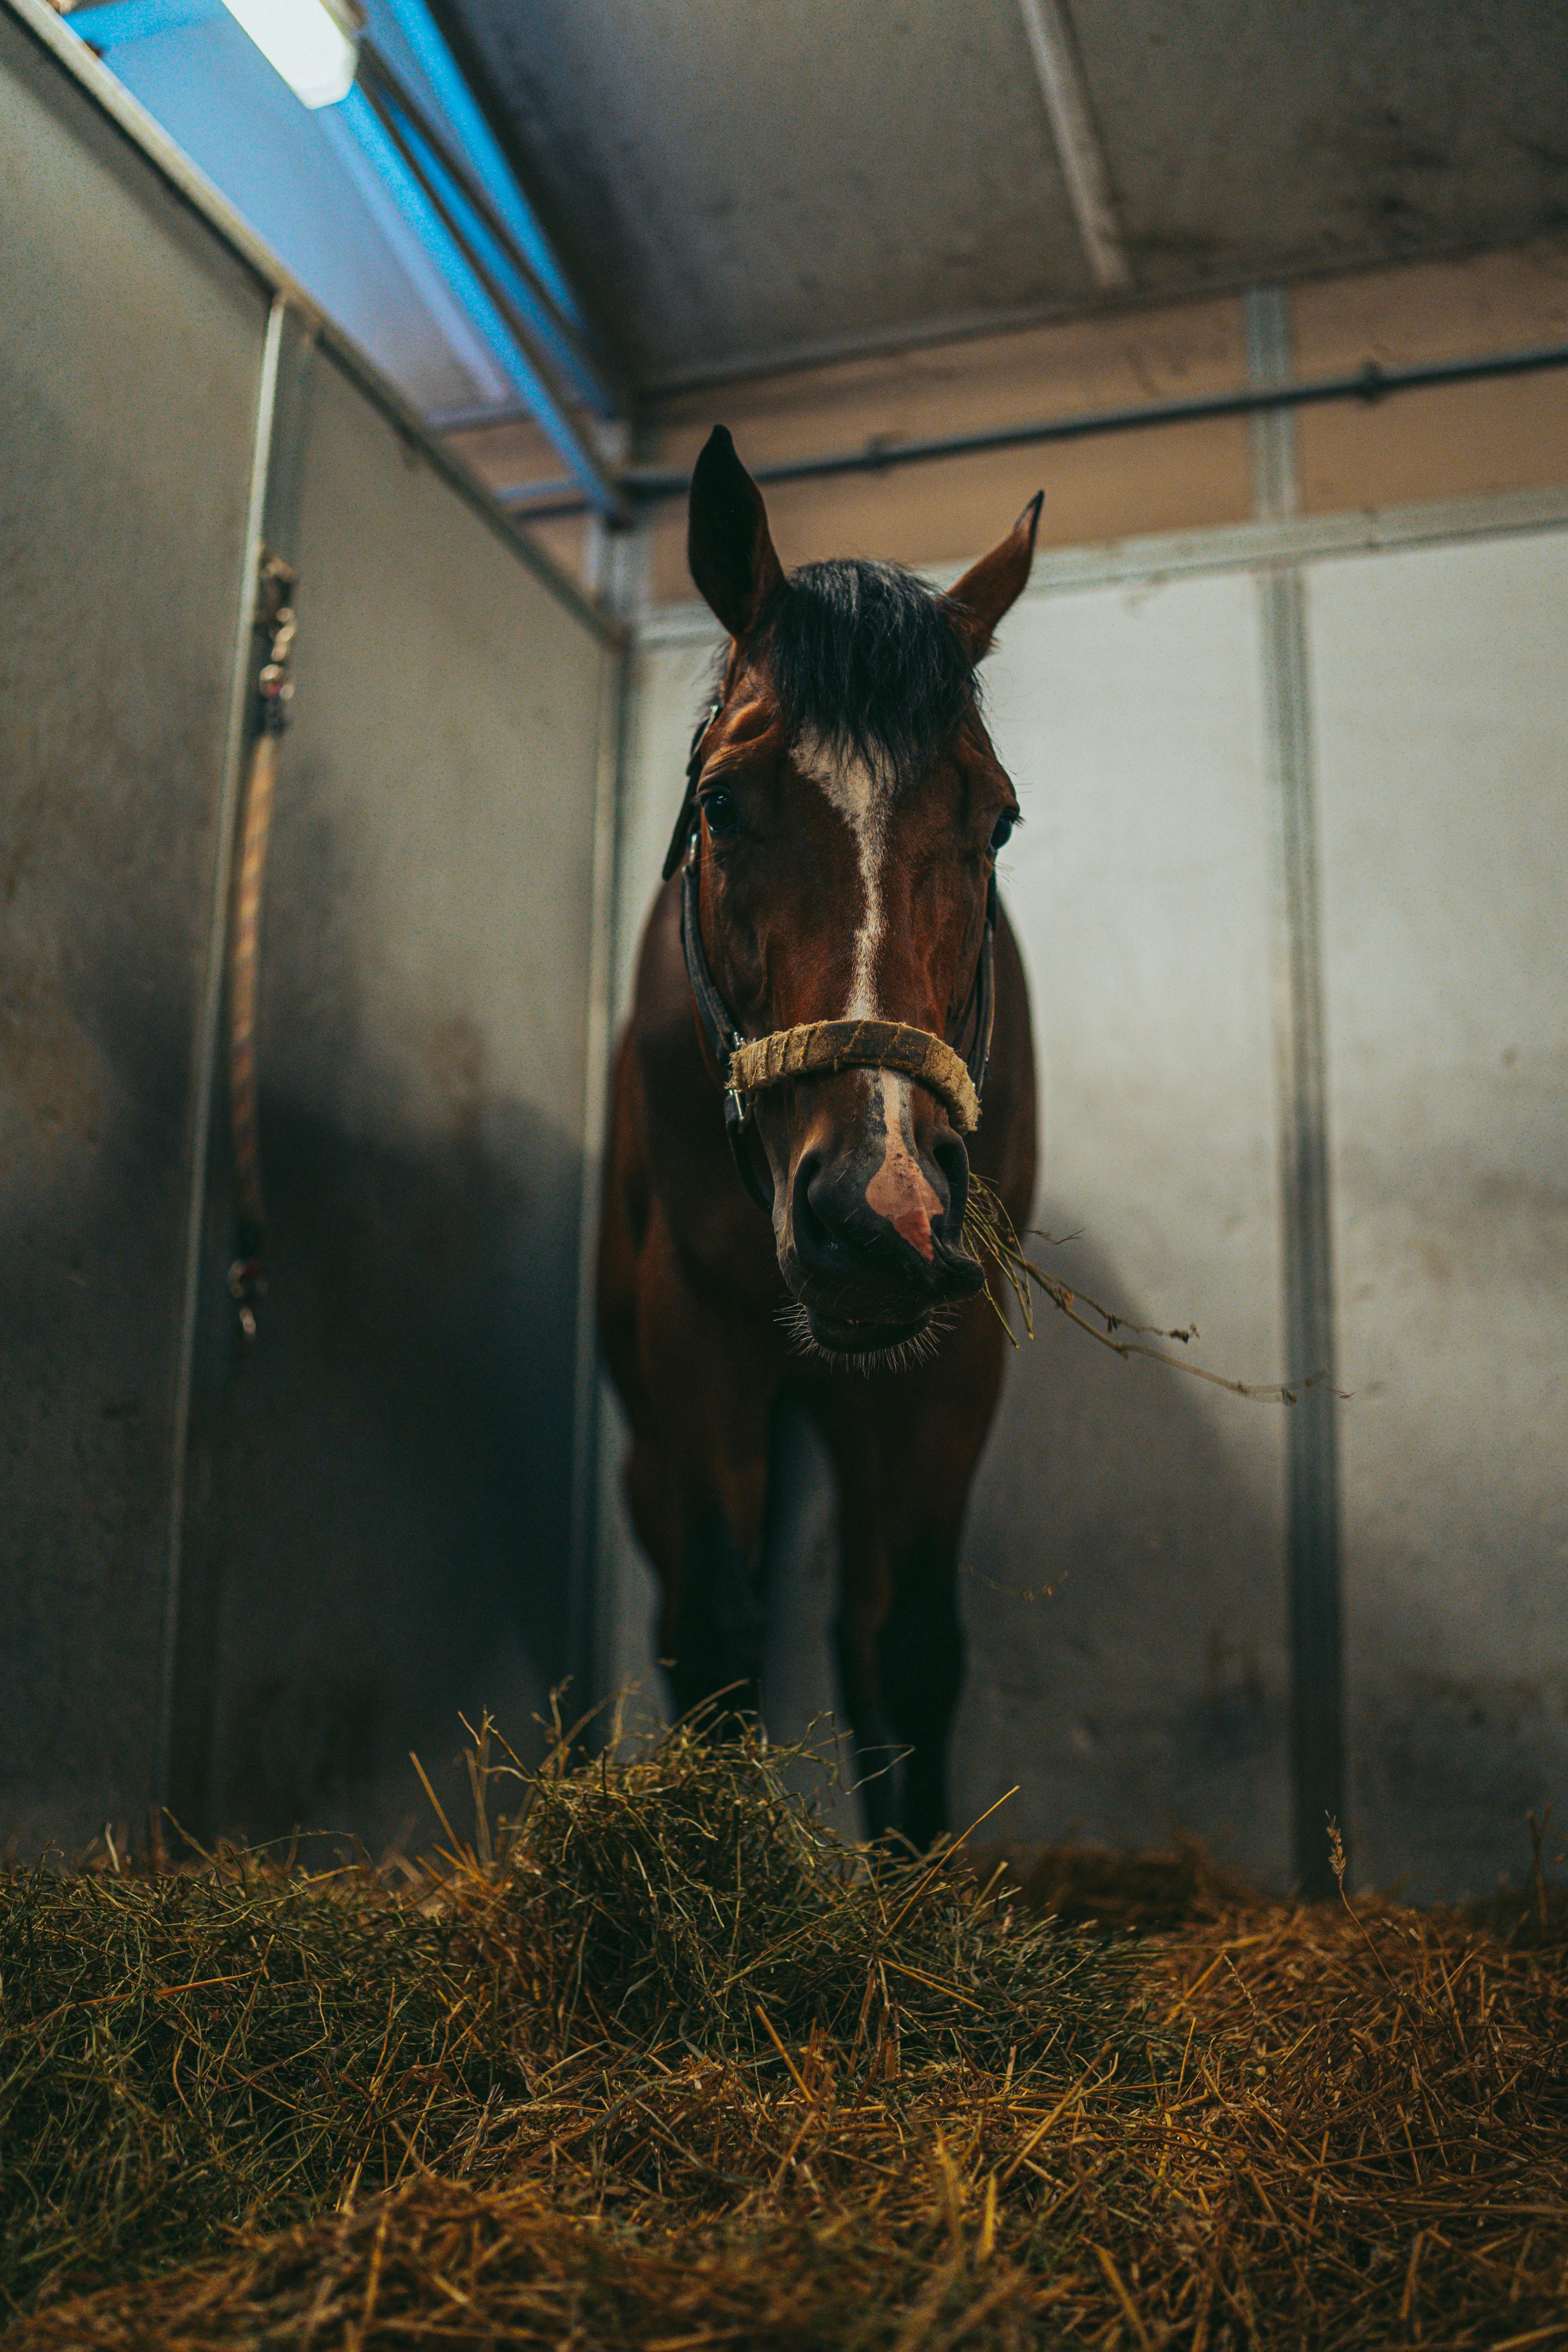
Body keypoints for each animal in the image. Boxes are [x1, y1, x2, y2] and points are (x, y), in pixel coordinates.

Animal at [598, 426, 1040, 1845]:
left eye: (996, 818)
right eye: (723, 806)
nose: (879, 1205)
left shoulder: (957, 1351)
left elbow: (911, 1644)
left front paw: (918, 1881)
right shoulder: (696, 1332)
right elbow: (718, 1640)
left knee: (855, 1633)